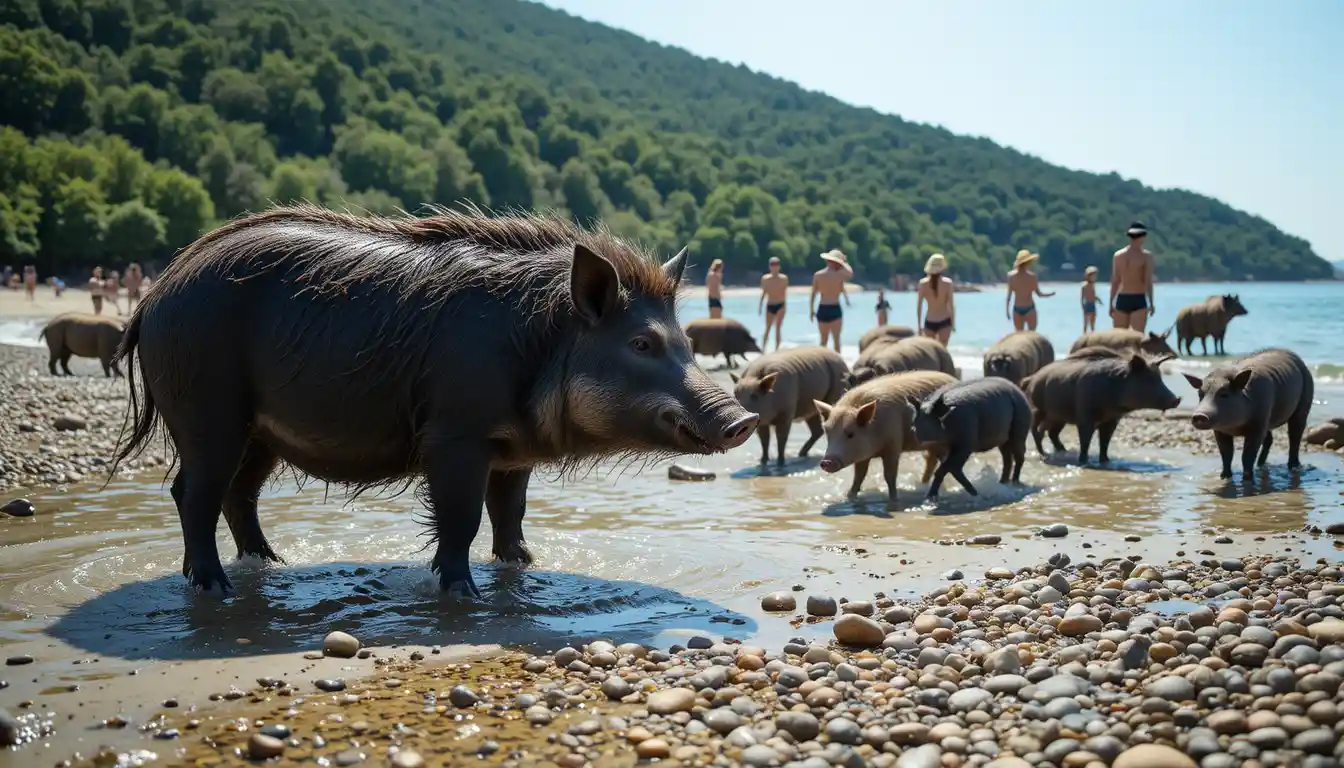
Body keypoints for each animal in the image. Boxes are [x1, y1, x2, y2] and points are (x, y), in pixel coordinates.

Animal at [111, 204, 758, 597]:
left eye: (686, 340)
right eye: (642, 343)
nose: (744, 417)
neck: (539, 345)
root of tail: (153, 301)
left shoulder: (512, 453)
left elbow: (510, 514)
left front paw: (525, 568)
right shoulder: (454, 434)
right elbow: (460, 516)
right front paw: (461, 592)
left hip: (260, 433)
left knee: (237, 496)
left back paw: (272, 566)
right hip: (207, 411)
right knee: (193, 493)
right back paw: (213, 586)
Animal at [815, 370, 956, 500]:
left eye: (850, 434)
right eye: (827, 432)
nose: (827, 461)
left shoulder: (894, 444)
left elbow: (889, 475)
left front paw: (893, 499)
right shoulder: (863, 456)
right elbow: (859, 476)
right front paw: (850, 497)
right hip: (933, 445)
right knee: (931, 460)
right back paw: (923, 485)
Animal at [1022, 351, 1181, 464]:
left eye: (1160, 378)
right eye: (1148, 379)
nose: (1177, 399)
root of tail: (1031, 378)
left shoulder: (1112, 421)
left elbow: (1105, 442)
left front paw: (1106, 461)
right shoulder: (1085, 416)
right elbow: (1085, 440)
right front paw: (1083, 462)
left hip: (1058, 417)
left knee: (1051, 432)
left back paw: (1063, 451)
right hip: (1038, 410)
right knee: (1036, 431)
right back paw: (1044, 455)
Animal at [1183, 348, 1313, 479]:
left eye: (1224, 394)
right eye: (1200, 394)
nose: (1199, 415)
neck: (1233, 427)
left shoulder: (1258, 423)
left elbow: (1247, 455)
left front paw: (1247, 478)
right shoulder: (1219, 430)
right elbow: (1226, 453)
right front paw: (1224, 476)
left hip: (1305, 398)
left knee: (1295, 434)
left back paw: (1294, 466)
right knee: (1269, 439)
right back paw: (1261, 465)